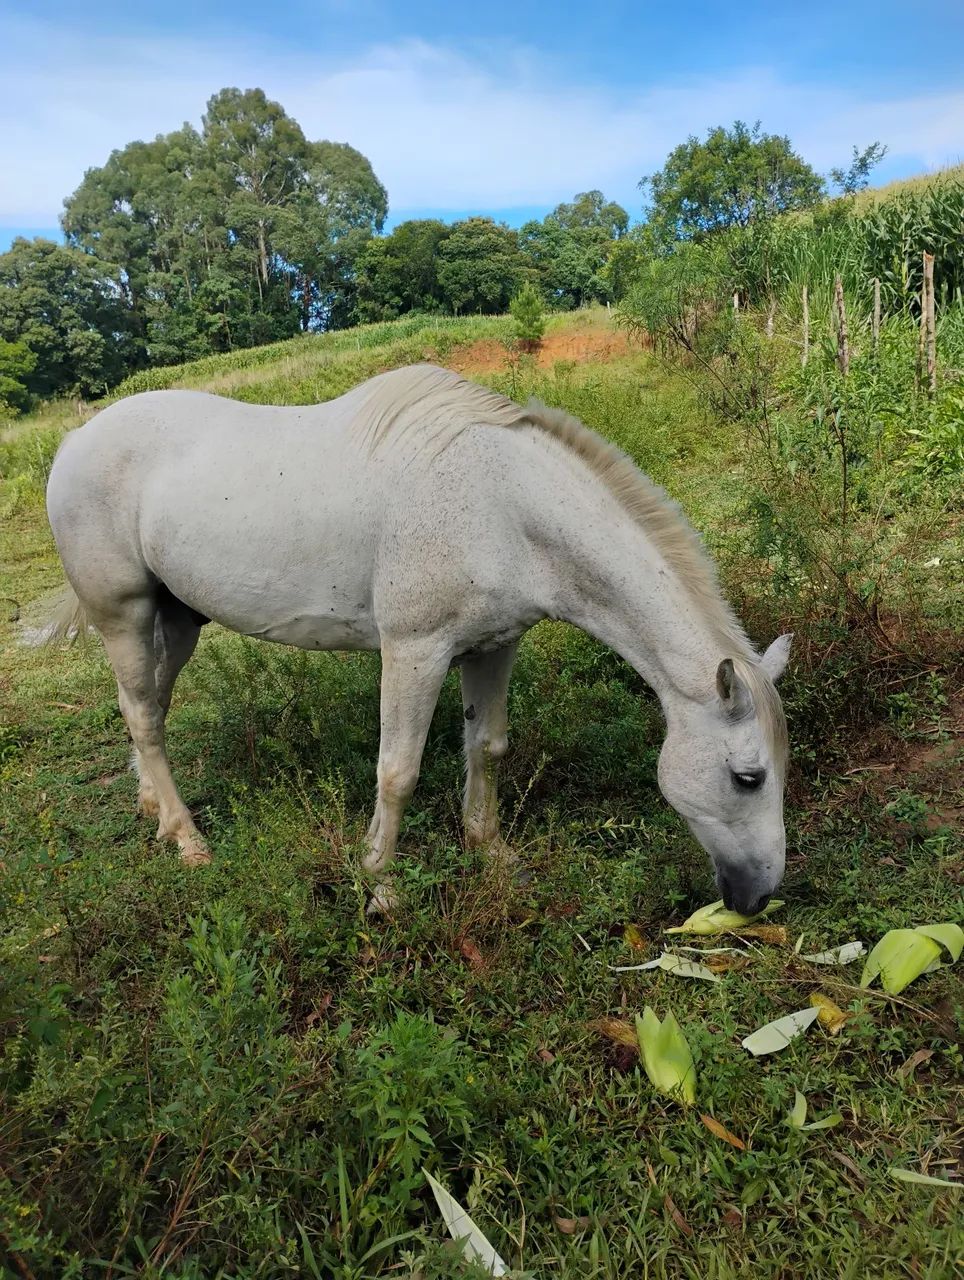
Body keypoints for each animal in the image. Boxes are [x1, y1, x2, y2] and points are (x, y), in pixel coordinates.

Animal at [44, 363, 790, 913]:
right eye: (747, 777)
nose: (758, 898)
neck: (501, 504)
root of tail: (76, 442)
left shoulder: (493, 646)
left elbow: (487, 747)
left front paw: (492, 856)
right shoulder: (413, 651)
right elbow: (397, 771)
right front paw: (379, 886)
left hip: (176, 621)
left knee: (147, 709)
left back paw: (154, 808)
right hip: (124, 615)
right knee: (143, 714)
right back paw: (189, 841)